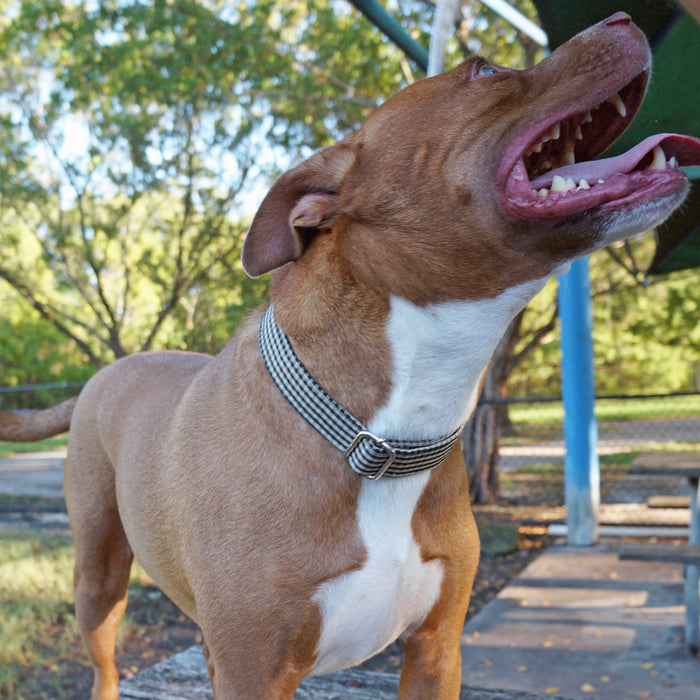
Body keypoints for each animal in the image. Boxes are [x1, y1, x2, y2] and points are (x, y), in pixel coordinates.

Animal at [1, 12, 700, 700]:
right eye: (484, 70)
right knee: (104, 666)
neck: (381, 434)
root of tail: (107, 372)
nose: (623, 16)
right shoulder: (254, 670)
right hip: (99, 577)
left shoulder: (435, 652)